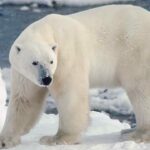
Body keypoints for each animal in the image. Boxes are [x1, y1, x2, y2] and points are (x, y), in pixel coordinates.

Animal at [0, 4, 150, 148]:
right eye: (34, 62)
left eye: (51, 61)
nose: (47, 79)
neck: (48, 29)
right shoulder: (22, 74)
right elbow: (24, 100)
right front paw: (5, 140)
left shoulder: (66, 58)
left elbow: (69, 94)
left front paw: (57, 138)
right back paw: (129, 130)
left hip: (136, 51)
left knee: (140, 89)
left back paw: (135, 133)